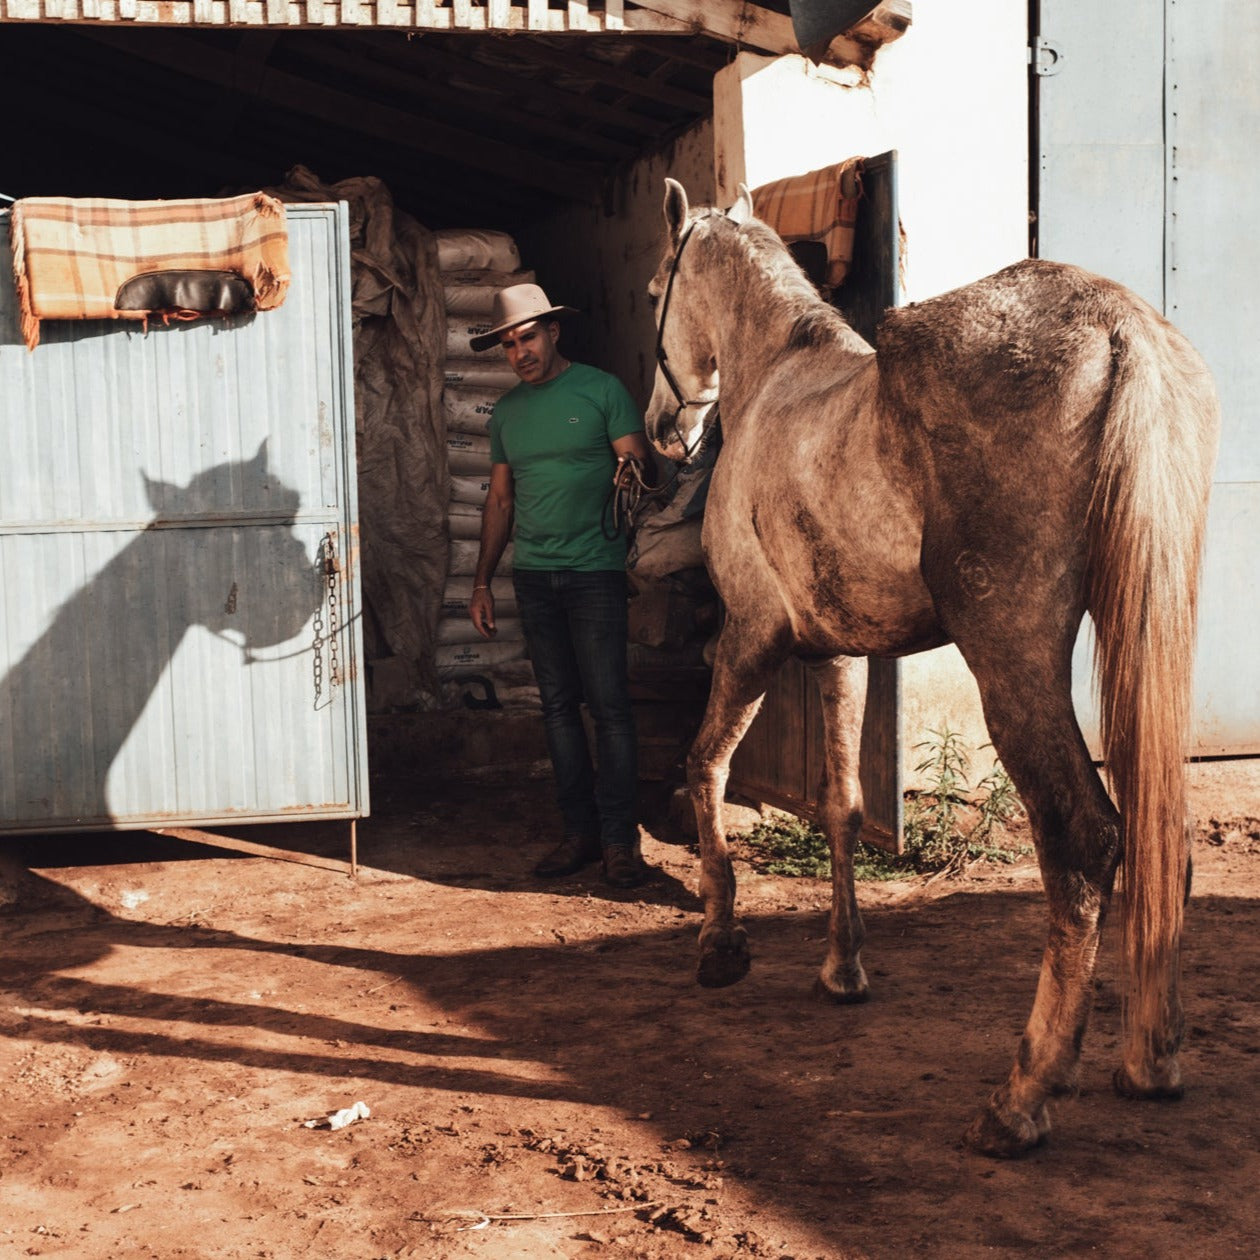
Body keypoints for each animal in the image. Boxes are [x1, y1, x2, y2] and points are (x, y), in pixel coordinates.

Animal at [644, 179, 1220, 1157]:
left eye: (656, 289)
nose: (658, 431)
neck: (776, 378)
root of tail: (1120, 331)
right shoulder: (840, 655)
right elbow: (841, 806)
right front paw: (843, 968)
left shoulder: (753, 637)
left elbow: (706, 764)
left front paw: (721, 944)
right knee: (1158, 831)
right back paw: (1151, 1060)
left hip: (1012, 664)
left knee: (1085, 840)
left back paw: (1022, 1098)